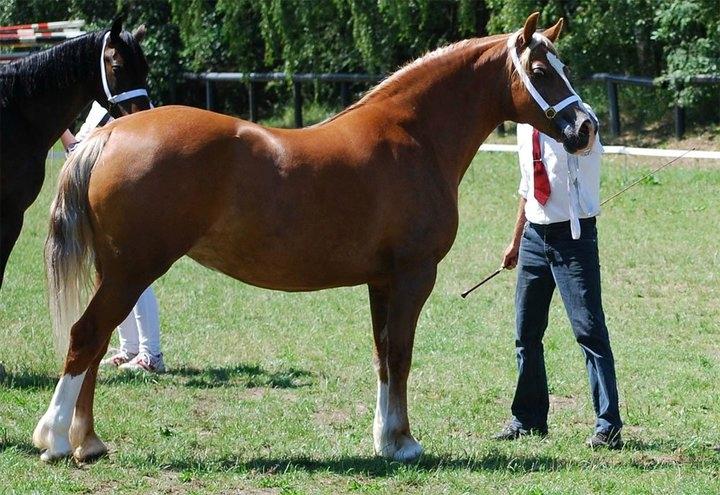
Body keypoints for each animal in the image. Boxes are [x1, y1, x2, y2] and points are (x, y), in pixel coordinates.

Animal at [33, 13, 596, 464]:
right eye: (541, 72)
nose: (585, 127)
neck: (414, 136)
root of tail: (108, 135)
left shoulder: (381, 282)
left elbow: (383, 355)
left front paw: (385, 440)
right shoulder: (413, 276)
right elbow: (401, 354)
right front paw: (404, 443)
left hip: (115, 273)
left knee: (96, 343)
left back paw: (88, 442)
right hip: (132, 272)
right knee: (85, 336)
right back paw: (56, 439)